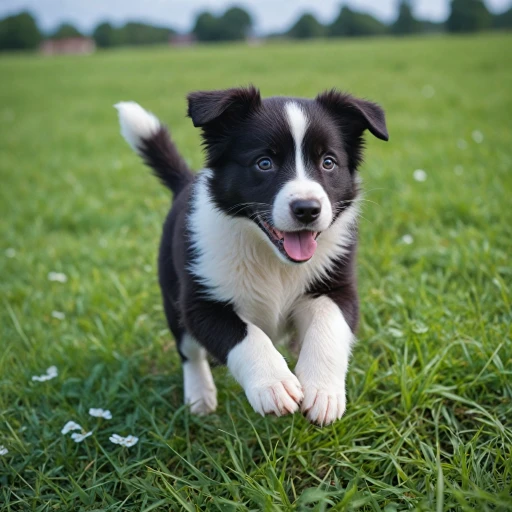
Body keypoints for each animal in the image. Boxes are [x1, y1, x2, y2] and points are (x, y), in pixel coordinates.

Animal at [115, 87, 388, 424]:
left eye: (328, 162)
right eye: (264, 163)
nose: (308, 209)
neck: (272, 258)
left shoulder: (337, 283)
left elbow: (330, 324)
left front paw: (323, 391)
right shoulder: (200, 301)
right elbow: (245, 336)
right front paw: (274, 384)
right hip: (171, 290)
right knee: (189, 351)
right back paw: (200, 396)